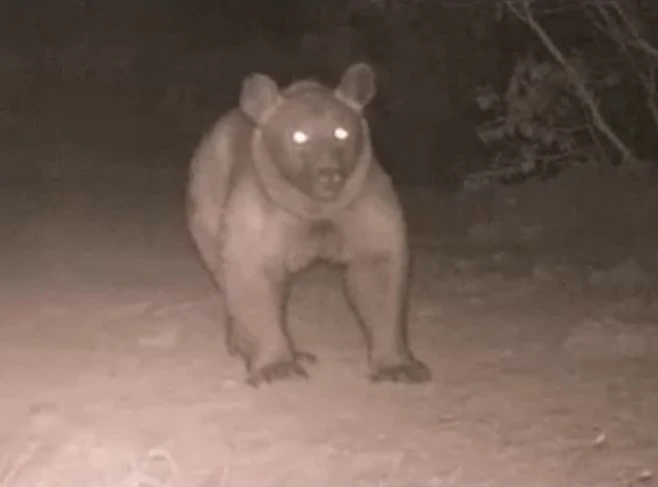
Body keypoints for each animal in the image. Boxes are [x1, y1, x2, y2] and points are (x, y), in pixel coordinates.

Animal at [184, 63, 430, 386]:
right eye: (299, 136)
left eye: (341, 132)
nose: (328, 174)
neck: (315, 207)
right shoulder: (259, 223)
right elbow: (254, 289)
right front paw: (276, 367)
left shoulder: (368, 209)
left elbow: (379, 286)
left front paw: (397, 367)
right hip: (210, 197)